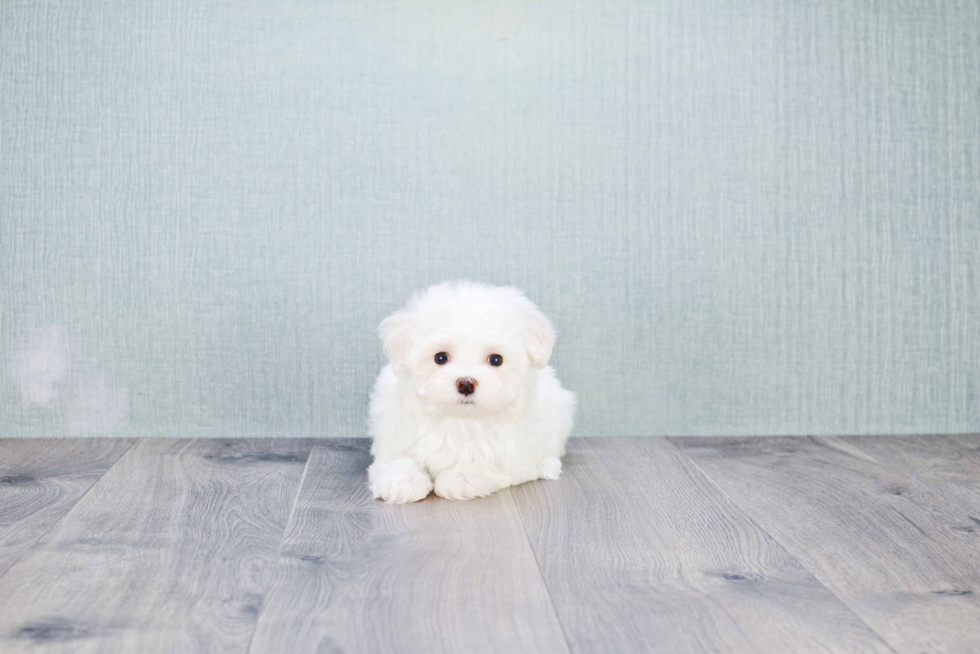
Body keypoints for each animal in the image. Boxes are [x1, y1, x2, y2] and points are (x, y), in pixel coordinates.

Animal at [372, 280, 580, 502]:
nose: (465, 384)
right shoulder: (396, 432)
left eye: (496, 359)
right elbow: (396, 458)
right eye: (440, 357)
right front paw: (402, 480)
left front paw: (461, 478)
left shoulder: (511, 451)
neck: (461, 420)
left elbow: (486, 462)